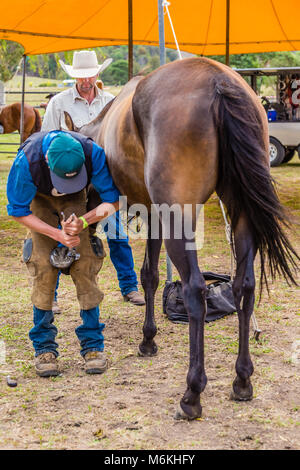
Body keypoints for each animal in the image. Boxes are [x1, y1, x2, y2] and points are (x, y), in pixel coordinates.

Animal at [63, 57, 298, 420]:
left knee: (195, 290)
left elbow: (148, 275)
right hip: (241, 213)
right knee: (244, 286)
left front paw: (148, 340)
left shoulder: (156, 215)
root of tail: (218, 82)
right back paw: (242, 380)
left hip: (181, 220)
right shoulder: (156, 216)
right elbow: (151, 275)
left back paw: (192, 393)